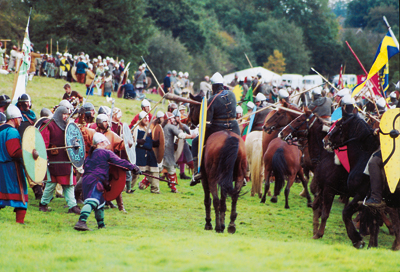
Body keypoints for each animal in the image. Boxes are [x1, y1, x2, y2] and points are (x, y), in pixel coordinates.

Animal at [188, 92, 247, 233]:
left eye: (192, 107)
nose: (189, 122)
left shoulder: (205, 179)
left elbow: (208, 200)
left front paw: (209, 223)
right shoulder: (226, 178)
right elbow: (223, 200)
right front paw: (223, 223)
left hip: (212, 178)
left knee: (214, 200)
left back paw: (216, 226)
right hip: (238, 176)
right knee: (234, 197)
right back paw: (231, 225)